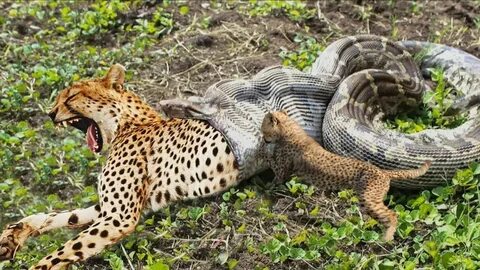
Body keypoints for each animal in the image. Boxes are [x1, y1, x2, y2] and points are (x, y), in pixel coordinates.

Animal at [0, 64, 240, 268]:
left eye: (71, 96)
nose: (50, 114)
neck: (127, 124)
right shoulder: (115, 208)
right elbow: (68, 215)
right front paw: (15, 232)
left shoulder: (119, 215)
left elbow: (63, 251)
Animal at [262, 110, 432, 242]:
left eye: (264, 130)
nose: (263, 138)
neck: (290, 129)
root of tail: (382, 171)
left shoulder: (282, 171)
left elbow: (273, 167)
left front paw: (265, 154)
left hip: (368, 197)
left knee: (392, 214)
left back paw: (387, 237)